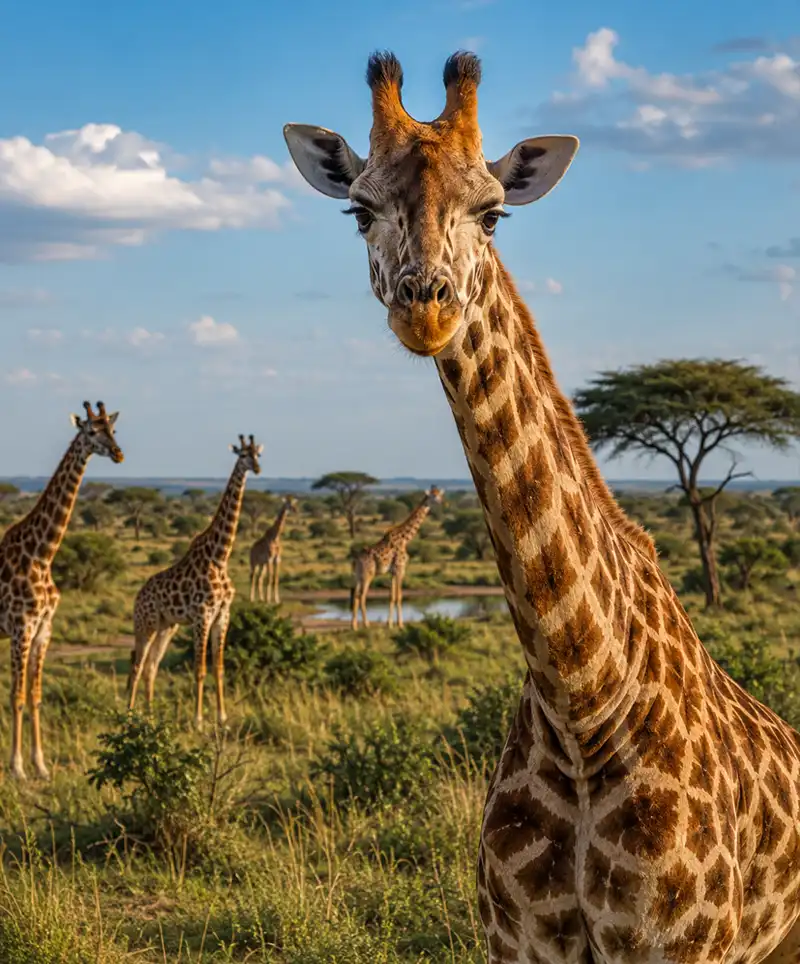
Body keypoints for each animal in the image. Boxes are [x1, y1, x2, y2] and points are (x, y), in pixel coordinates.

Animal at [0, 401, 124, 780]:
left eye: (113, 429)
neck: (42, 555)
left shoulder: (44, 628)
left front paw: (40, 766)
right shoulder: (21, 628)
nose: (119, 454)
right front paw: (17, 768)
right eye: (91, 431)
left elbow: (36, 696)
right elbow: (16, 697)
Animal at [128, 435, 262, 729]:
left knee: (151, 666)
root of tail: (137, 597)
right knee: (137, 665)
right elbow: (200, 669)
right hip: (146, 624)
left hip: (167, 627)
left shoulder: (223, 614)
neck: (220, 557)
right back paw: (129, 716)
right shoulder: (202, 615)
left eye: (258, 454)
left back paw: (150, 717)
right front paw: (199, 720)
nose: (257, 468)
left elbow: (219, 668)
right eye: (242, 455)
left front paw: (222, 718)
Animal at [349, 485, 444, 631]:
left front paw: (389, 624)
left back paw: (354, 626)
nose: (441, 501)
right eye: (433, 495)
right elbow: (399, 596)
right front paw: (400, 624)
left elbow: (392, 596)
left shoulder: (393, 572)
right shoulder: (400, 569)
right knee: (362, 596)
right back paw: (366, 625)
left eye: (439, 494)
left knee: (355, 595)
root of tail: (356, 560)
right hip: (368, 575)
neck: (406, 538)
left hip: (357, 576)